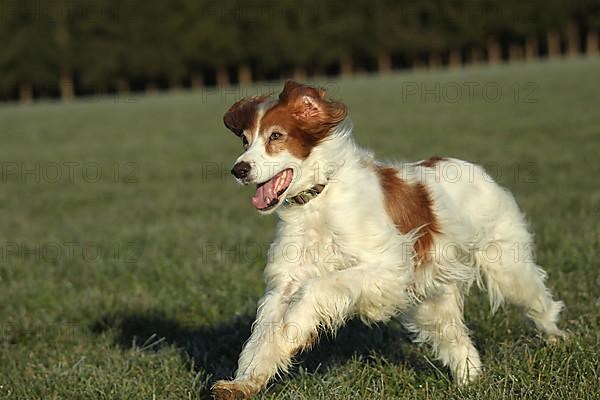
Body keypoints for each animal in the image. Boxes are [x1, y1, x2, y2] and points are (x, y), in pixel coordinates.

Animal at [212, 79, 568, 398]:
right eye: (245, 141)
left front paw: (295, 327)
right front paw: (243, 383)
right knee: (458, 340)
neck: (319, 200)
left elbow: (317, 289)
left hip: (506, 267)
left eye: (276, 136)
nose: (239, 169)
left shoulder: (388, 268)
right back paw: (469, 379)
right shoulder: (285, 283)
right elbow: (262, 337)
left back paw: (557, 338)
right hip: (433, 300)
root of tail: (474, 168)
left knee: (538, 300)